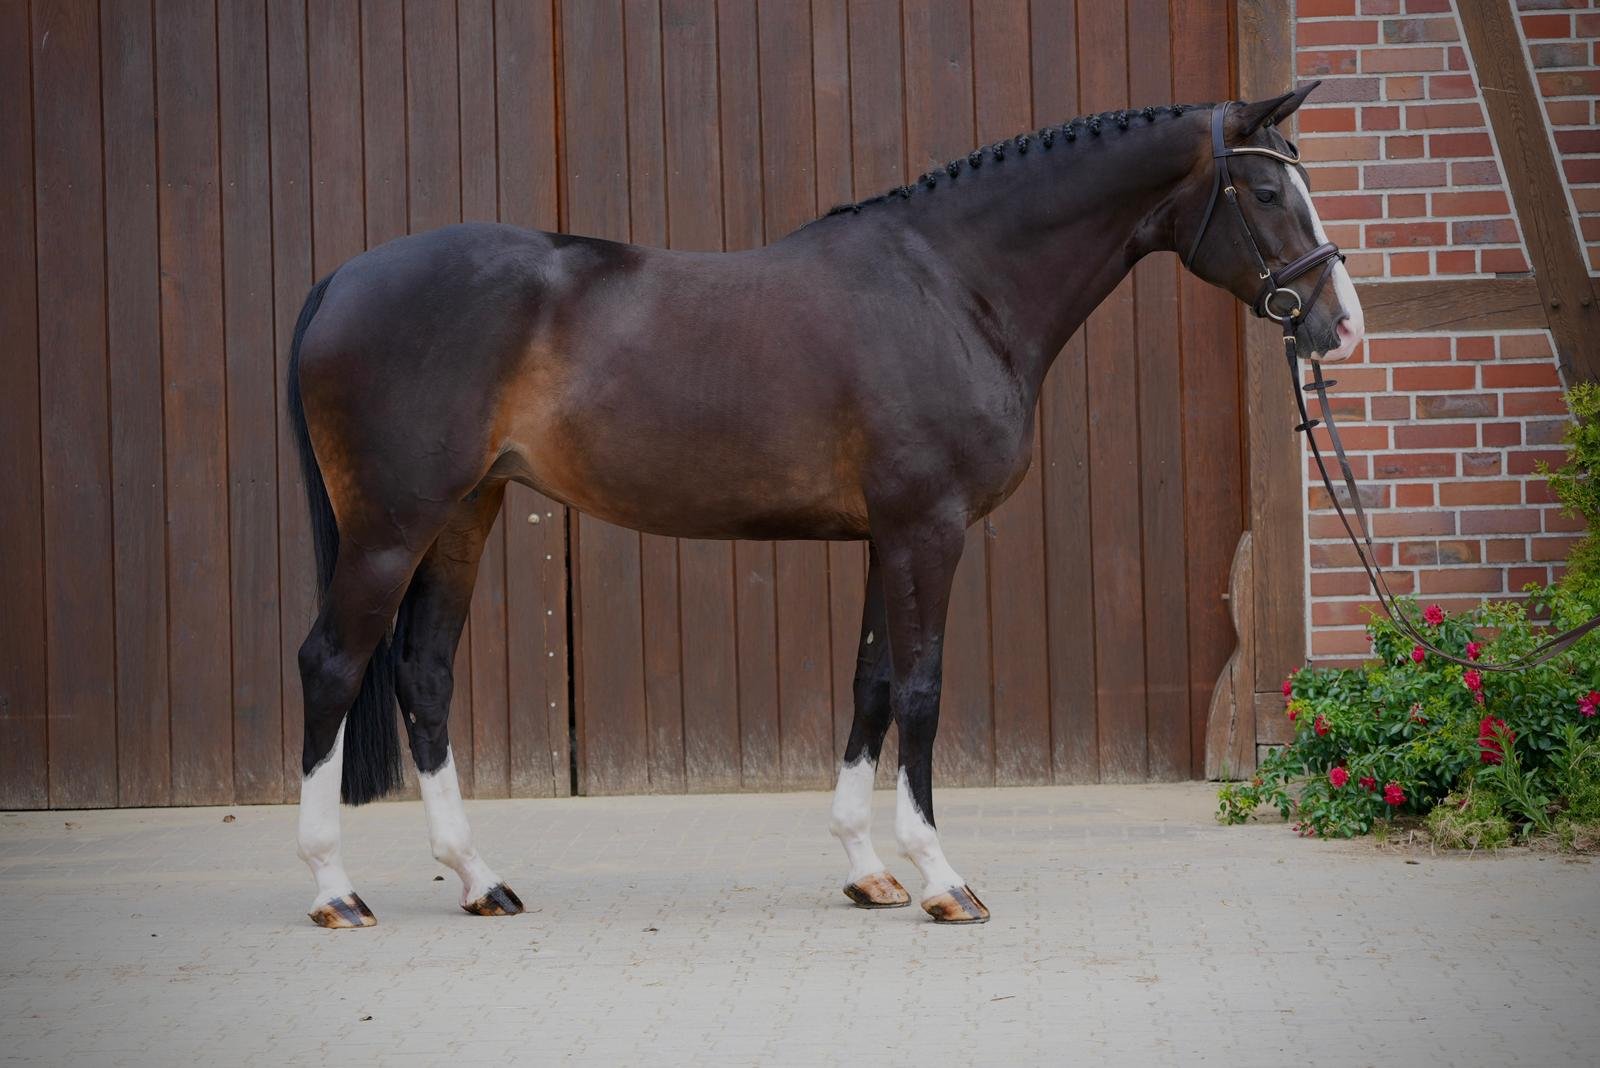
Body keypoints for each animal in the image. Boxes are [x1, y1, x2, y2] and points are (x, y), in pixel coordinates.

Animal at [287, 83, 1362, 928]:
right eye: (1270, 192)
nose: (1340, 324)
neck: (953, 286)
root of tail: (341, 277)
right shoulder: (928, 531)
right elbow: (923, 692)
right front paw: (941, 878)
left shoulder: (887, 537)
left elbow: (872, 686)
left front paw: (868, 869)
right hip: (389, 529)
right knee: (333, 664)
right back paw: (335, 889)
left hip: (463, 516)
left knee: (425, 674)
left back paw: (480, 879)